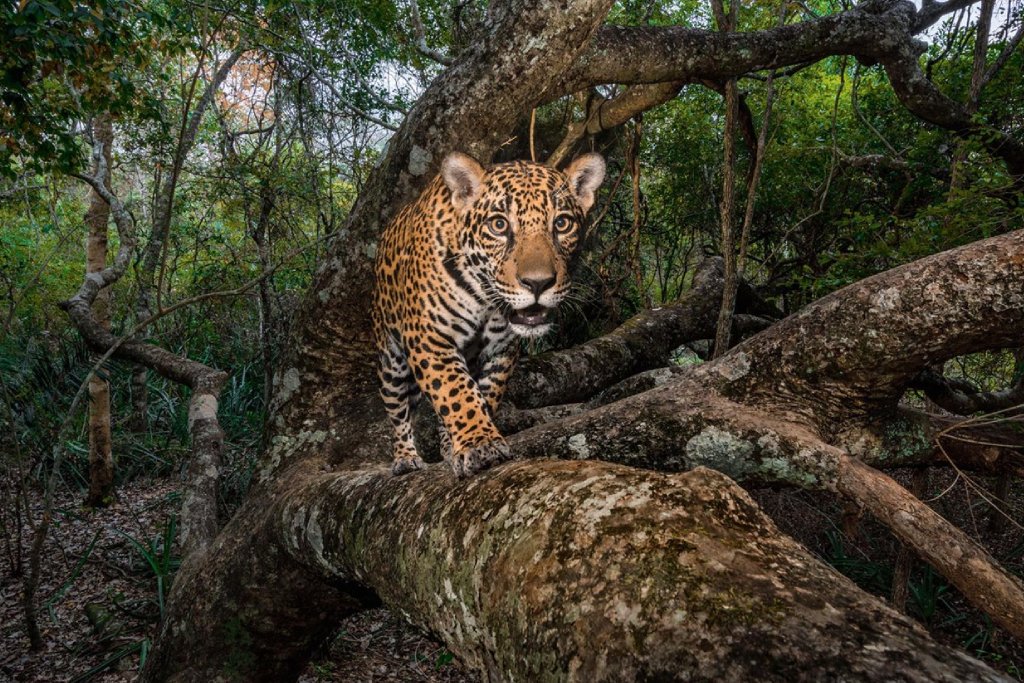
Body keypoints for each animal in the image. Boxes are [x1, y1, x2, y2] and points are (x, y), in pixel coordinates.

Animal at [372, 151, 605, 477]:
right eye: (498, 225)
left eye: (561, 223)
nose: (538, 283)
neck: (485, 300)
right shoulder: (430, 340)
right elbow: (455, 392)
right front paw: (479, 445)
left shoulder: (501, 349)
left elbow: (483, 394)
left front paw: (469, 440)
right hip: (391, 361)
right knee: (397, 409)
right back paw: (405, 458)